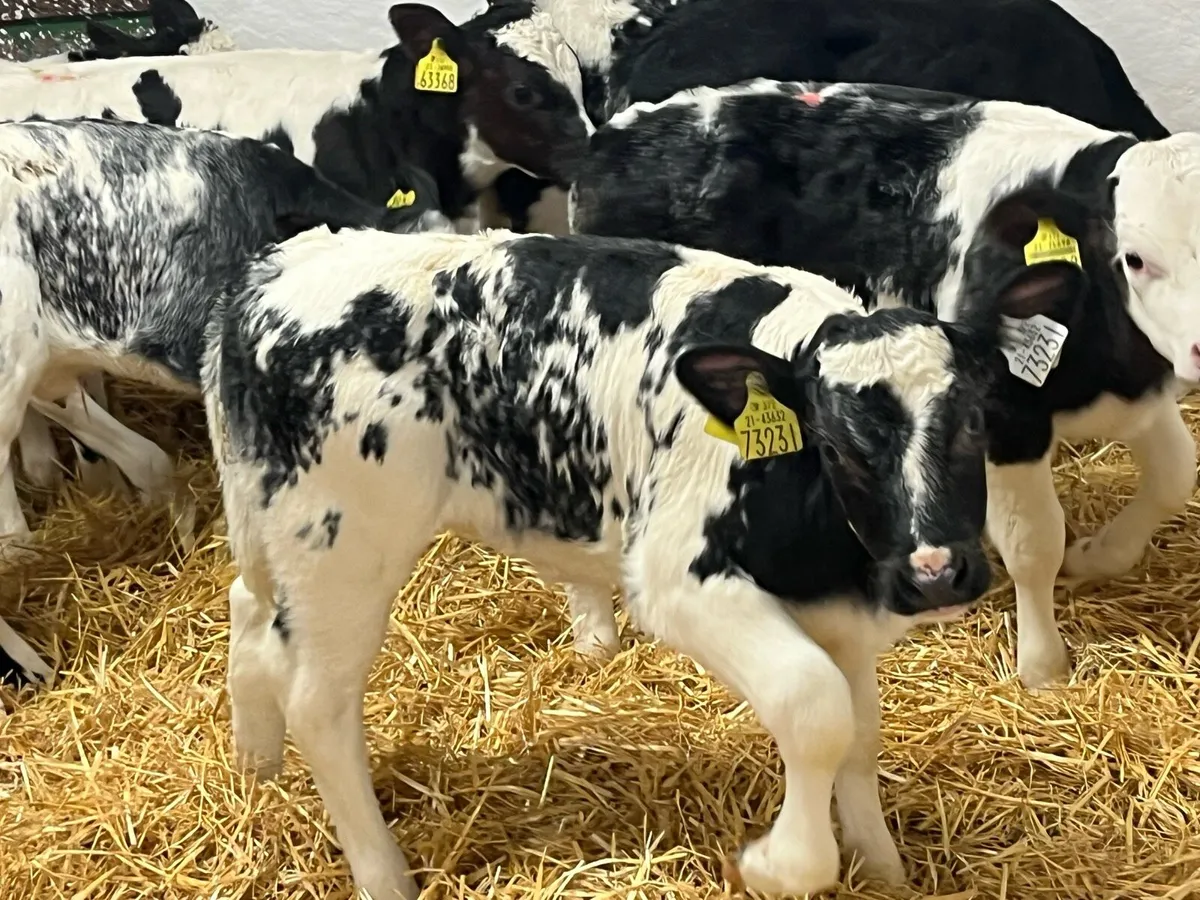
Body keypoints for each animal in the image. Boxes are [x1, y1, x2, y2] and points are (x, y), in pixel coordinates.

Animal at [567, 78, 1200, 689]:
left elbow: (1174, 476)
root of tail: (617, 132)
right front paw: (1043, 668)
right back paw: (596, 637)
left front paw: (1099, 555)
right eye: (1135, 258)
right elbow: (1035, 544)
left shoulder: (1141, 394)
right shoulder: (1008, 416)